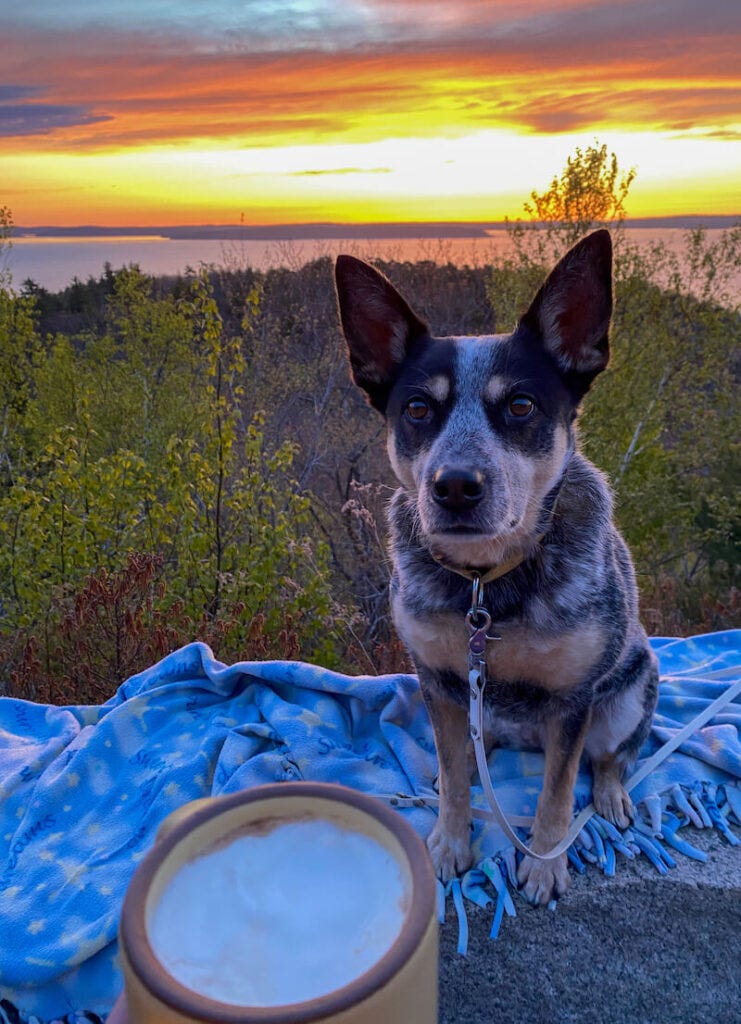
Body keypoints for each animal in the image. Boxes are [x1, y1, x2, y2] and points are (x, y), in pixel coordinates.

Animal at [335, 230, 659, 905]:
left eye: (521, 405)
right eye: (417, 409)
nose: (455, 486)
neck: (487, 584)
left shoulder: (572, 699)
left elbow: (558, 793)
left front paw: (544, 863)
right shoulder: (438, 680)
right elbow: (458, 776)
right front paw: (449, 842)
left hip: (630, 691)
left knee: (611, 757)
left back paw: (611, 795)